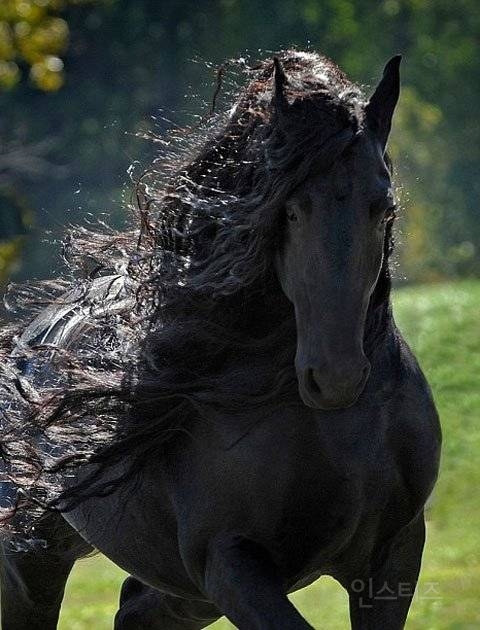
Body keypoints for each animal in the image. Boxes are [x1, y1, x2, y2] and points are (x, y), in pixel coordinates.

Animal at [0, 53, 442, 630]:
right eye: (291, 209)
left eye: (383, 207)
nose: (336, 376)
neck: (339, 434)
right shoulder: (230, 563)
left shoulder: (394, 555)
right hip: (35, 564)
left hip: (180, 593)